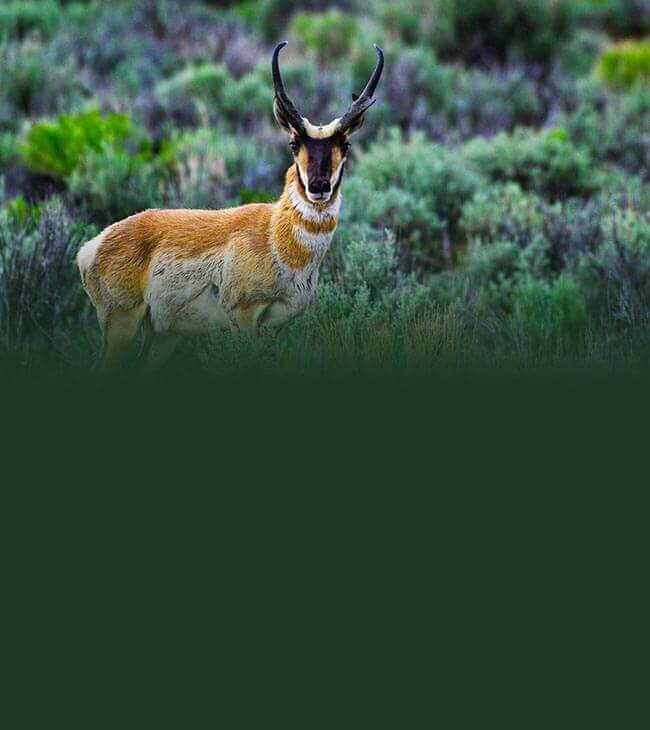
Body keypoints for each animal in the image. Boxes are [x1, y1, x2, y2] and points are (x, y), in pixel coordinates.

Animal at [76, 41, 382, 370]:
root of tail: (94, 245)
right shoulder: (244, 318)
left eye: (345, 144)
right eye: (293, 142)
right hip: (122, 326)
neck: (274, 236)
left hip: (162, 334)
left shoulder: (279, 327)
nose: (319, 187)